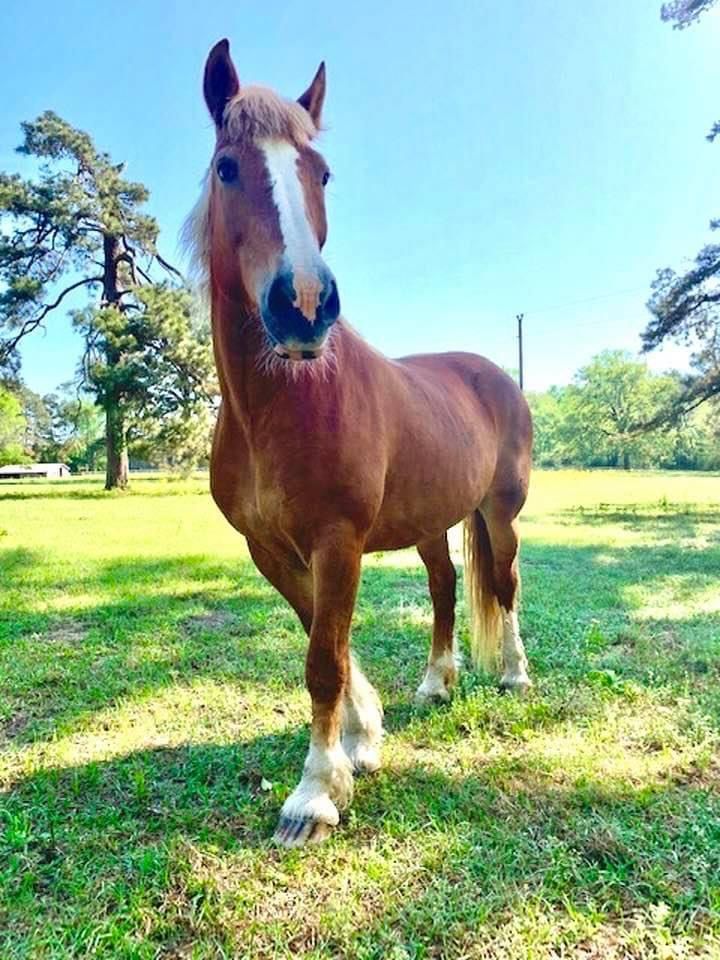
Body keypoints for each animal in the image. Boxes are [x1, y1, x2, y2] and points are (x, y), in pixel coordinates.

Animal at [185, 39, 533, 847]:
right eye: (227, 166)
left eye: (321, 172)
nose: (304, 304)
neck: (282, 402)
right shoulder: (272, 549)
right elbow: (326, 640)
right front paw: (361, 740)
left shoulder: (336, 540)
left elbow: (323, 659)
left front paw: (314, 794)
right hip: (431, 521)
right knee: (445, 588)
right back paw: (437, 682)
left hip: (499, 512)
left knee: (504, 581)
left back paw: (513, 674)